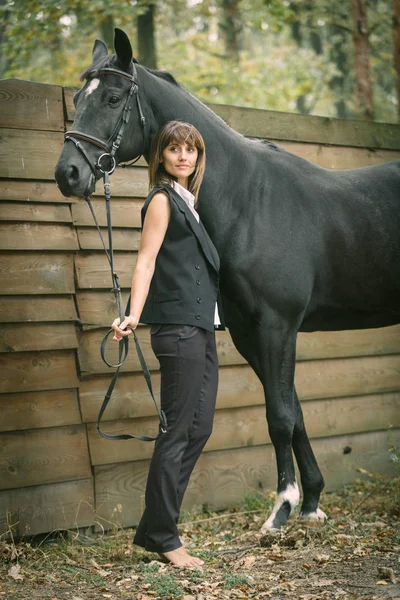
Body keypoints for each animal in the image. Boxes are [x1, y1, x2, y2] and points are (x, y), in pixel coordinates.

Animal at [54, 30, 400, 532]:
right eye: (79, 98)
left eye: (114, 98)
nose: (67, 173)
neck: (250, 200)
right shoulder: (249, 332)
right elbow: (294, 412)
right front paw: (311, 502)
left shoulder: (276, 328)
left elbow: (280, 416)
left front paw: (281, 509)